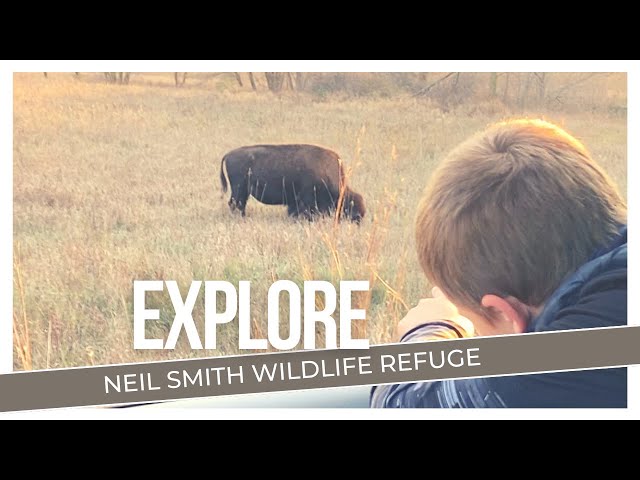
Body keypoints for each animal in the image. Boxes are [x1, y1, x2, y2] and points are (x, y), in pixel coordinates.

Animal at [221, 144, 364, 223]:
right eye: (351, 206)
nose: (358, 221)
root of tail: (228, 154)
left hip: (243, 191)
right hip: (239, 190)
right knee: (236, 204)